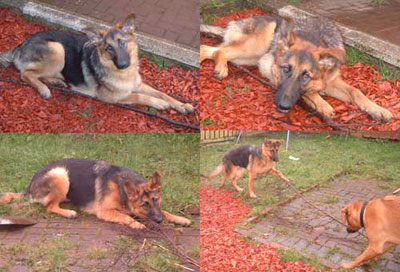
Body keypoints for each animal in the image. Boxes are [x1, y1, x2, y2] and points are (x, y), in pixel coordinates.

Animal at [0, 13, 194, 113]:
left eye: (122, 43)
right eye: (108, 48)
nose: (122, 64)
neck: (124, 74)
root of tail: (21, 44)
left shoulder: (138, 85)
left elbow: (162, 93)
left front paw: (181, 105)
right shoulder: (114, 98)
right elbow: (140, 97)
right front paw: (160, 104)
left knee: (38, 74)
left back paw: (56, 81)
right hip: (58, 49)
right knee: (25, 74)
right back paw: (44, 88)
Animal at [0, 159, 191, 230]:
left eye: (156, 200)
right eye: (145, 204)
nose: (159, 221)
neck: (122, 189)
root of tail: (30, 184)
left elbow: (165, 211)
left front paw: (180, 218)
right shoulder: (105, 212)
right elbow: (126, 217)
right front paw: (137, 224)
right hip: (61, 175)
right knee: (49, 206)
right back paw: (69, 212)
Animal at [200, 14, 390, 121]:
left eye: (306, 76)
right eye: (285, 69)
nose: (283, 106)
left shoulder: (332, 81)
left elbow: (356, 92)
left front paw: (378, 109)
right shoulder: (267, 64)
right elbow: (310, 93)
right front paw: (322, 104)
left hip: (249, 57)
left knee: (215, 50)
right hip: (255, 49)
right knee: (213, 49)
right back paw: (220, 68)